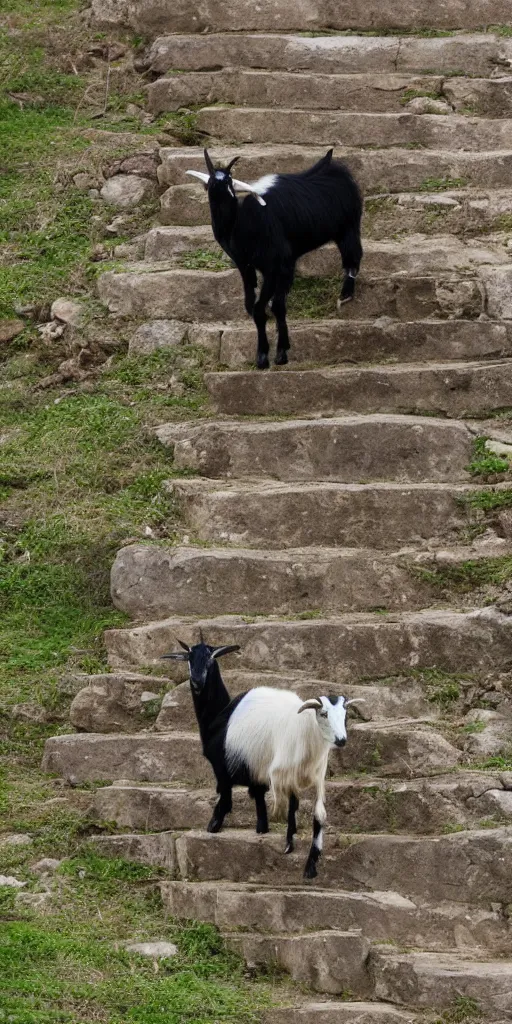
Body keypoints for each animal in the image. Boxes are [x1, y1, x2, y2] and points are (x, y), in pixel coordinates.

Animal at [162, 634, 360, 876]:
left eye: (210, 659)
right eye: (190, 658)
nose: (197, 682)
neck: (219, 715)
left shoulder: (223, 767)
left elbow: (227, 798)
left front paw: (214, 825)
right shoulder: (259, 768)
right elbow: (265, 799)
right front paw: (264, 830)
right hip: (313, 771)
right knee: (317, 813)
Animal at [186, 144, 362, 368]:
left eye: (229, 181)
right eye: (209, 181)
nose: (217, 188)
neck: (244, 224)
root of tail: (334, 167)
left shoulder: (277, 266)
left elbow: (271, 307)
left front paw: (277, 354)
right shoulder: (246, 266)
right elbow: (255, 307)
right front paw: (264, 354)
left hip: (349, 228)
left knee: (353, 259)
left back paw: (345, 296)